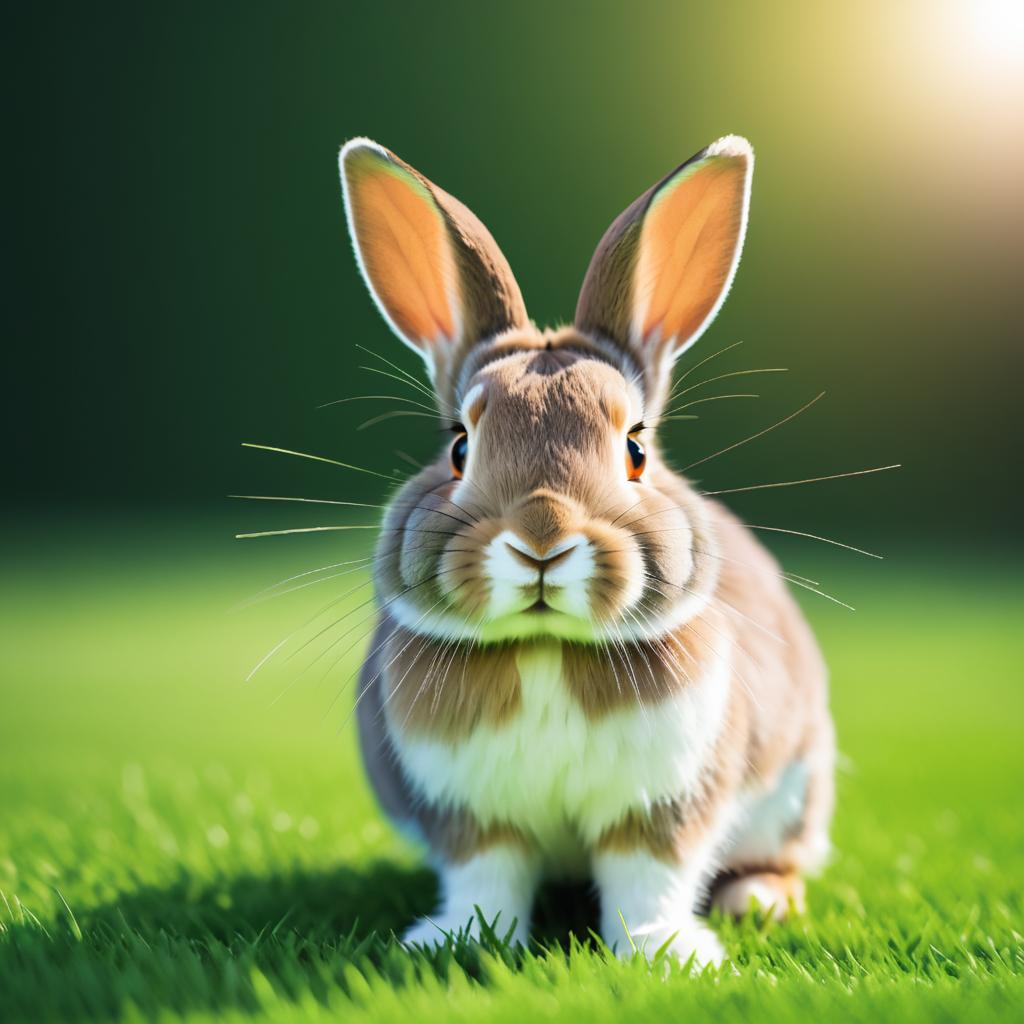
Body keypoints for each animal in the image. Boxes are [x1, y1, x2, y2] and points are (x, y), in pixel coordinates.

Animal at [339, 136, 835, 966]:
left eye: (635, 449)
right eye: (460, 447)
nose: (542, 538)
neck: (546, 649)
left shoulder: (664, 805)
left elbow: (648, 878)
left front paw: (667, 955)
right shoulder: (471, 816)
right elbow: (487, 877)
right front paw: (455, 943)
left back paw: (759, 902)